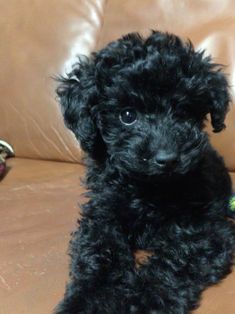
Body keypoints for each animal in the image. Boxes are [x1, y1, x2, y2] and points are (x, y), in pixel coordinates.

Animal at [55, 30, 235, 314]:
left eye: (184, 111)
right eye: (127, 115)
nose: (167, 159)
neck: (149, 188)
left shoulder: (207, 231)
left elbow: (174, 262)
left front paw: (143, 300)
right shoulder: (102, 217)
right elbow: (100, 253)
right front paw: (88, 301)